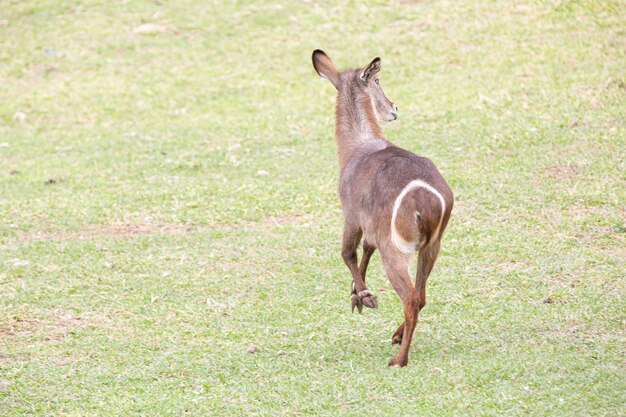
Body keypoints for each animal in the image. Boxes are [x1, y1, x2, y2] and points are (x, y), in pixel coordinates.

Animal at [312, 50, 454, 366]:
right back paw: (397, 336)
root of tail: (427, 199)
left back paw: (399, 359)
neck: (356, 147)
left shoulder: (351, 215)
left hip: (397, 250)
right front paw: (357, 293)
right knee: (421, 295)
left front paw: (363, 295)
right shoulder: (371, 226)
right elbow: (366, 249)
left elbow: (347, 253)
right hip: (432, 246)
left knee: (411, 298)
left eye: (377, 79)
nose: (393, 108)